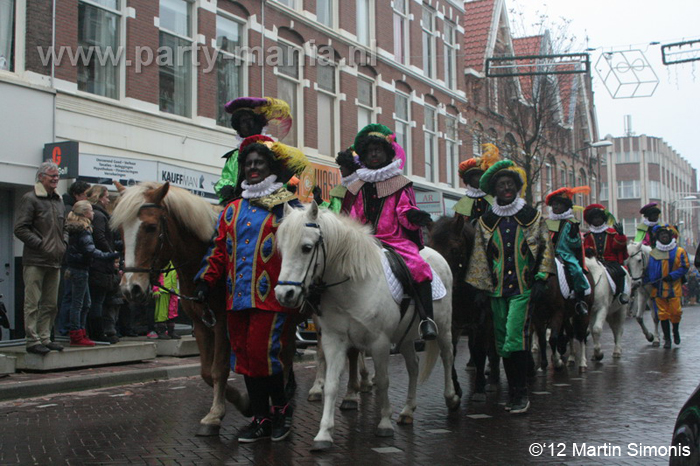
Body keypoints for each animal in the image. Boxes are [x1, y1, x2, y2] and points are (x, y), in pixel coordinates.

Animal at [110, 182, 250, 436]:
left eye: (151, 227)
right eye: (121, 230)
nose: (130, 288)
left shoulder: (223, 322)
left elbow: (220, 368)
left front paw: (216, 414)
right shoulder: (201, 321)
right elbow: (207, 372)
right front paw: (241, 402)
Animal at [274, 203, 460, 452]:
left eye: (306, 248)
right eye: (282, 249)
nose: (285, 294)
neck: (353, 283)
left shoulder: (379, 342)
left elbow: (382, 381)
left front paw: (384, 423)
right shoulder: (334, 340)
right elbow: (332, 384)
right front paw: (324, 433)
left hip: (443, 327)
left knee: (448, 356)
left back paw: (451, 398)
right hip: (406, 337)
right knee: (413, 366)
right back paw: (407, 411)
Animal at [424, 217, 500, 402]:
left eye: (454, 249)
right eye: (430, 246)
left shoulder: (481, 323)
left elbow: (480, 351)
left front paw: (479, 389)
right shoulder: (453, 324)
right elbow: (451, 351)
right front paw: (456, 388)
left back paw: (493, 380)